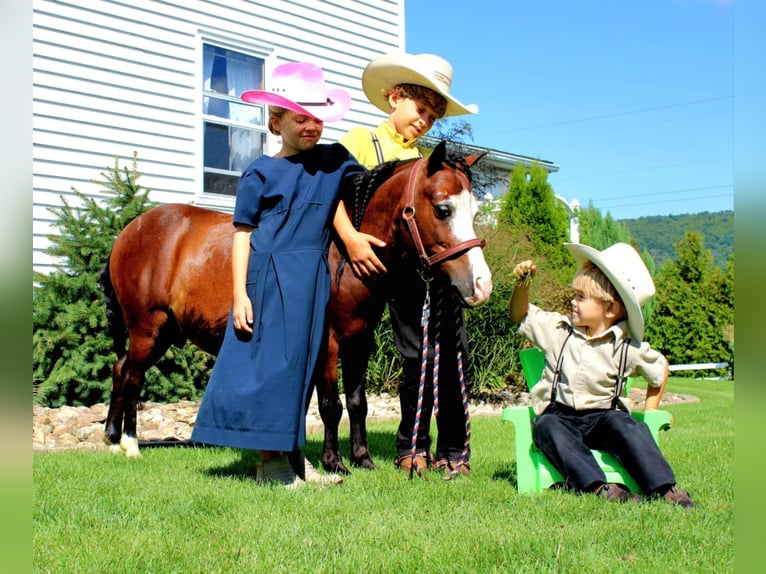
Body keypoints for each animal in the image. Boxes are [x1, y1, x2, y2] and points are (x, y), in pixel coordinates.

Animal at [100, 141, 492, 472]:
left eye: (474, 211)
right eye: (443, 209)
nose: (480, 285)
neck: (344, 253)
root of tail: (129, 232)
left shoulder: (359, 341)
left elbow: (357, 402)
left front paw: (362, 459)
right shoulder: (328, 343)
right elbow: (331, 405)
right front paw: (335, 463)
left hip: (162, 333)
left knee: (120, 369)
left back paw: (112, 439)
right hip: (147, 330)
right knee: (132, 377)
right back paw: (131, 444)